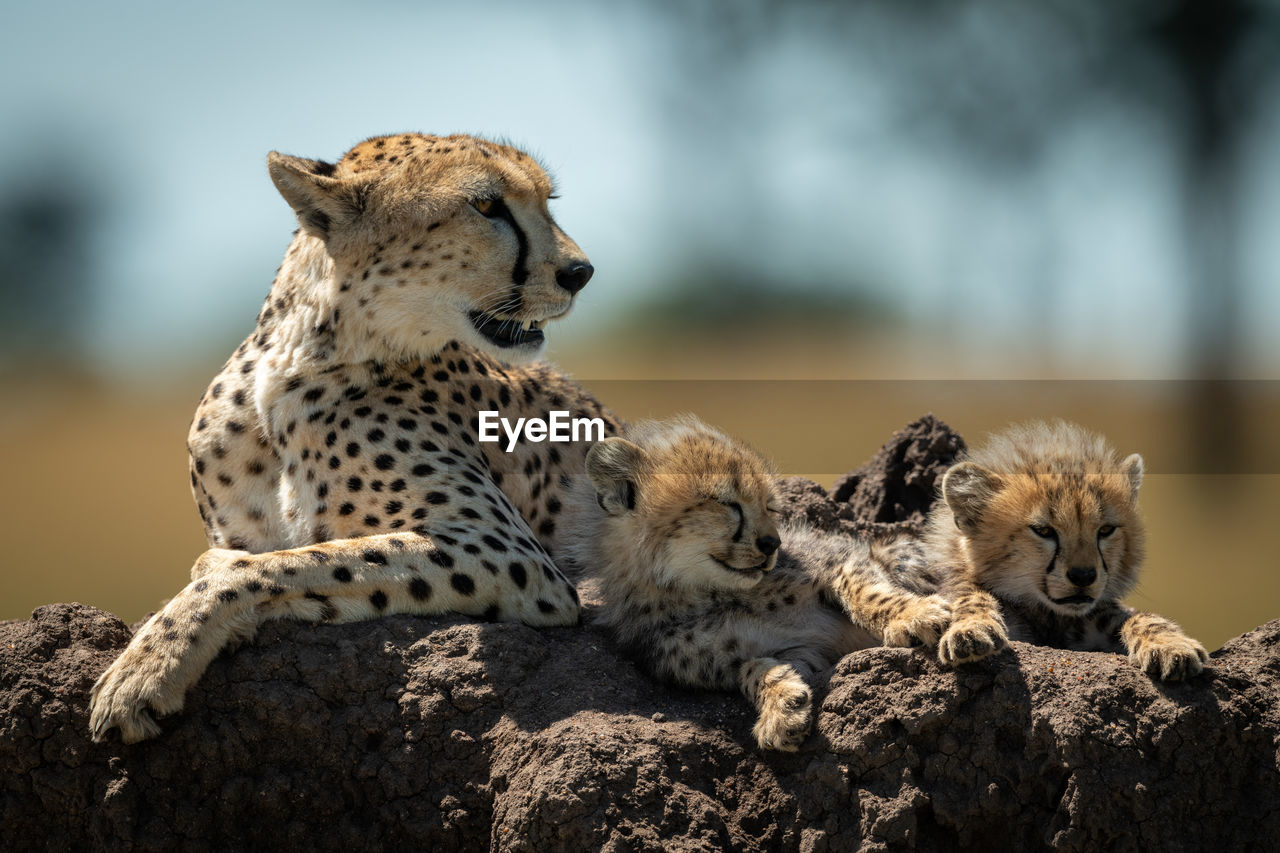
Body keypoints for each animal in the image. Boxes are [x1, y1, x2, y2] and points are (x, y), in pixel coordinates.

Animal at [90, 131, 619, 737]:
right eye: (487, 206)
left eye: (547, 201)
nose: (580, 272)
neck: (299, 362)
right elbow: (281, 558)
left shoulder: (513, 554)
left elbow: (283, 563)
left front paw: (144, 671)